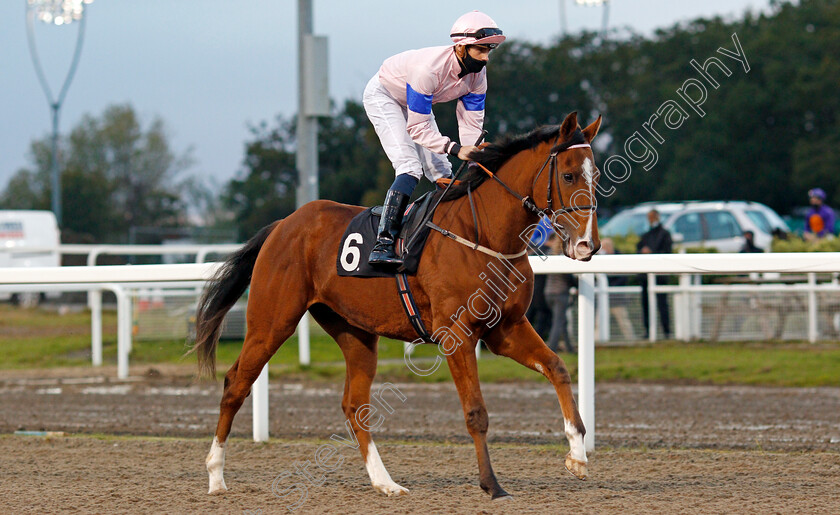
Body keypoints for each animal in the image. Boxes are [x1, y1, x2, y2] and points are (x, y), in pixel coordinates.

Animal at [195, 112, 604, 500]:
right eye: (568, 175)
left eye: (595, 174)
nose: (589, 245)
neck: (483, 234)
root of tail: (283, 224)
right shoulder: (456, 334)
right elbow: (476, 412)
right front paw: (492, 485)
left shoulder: (506, 328)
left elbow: (558, 368)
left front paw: (577, 456)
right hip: (271, 322)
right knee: (236, 384)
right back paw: (215, 476)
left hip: (354, 332)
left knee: (354, 405)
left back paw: (385, 482)